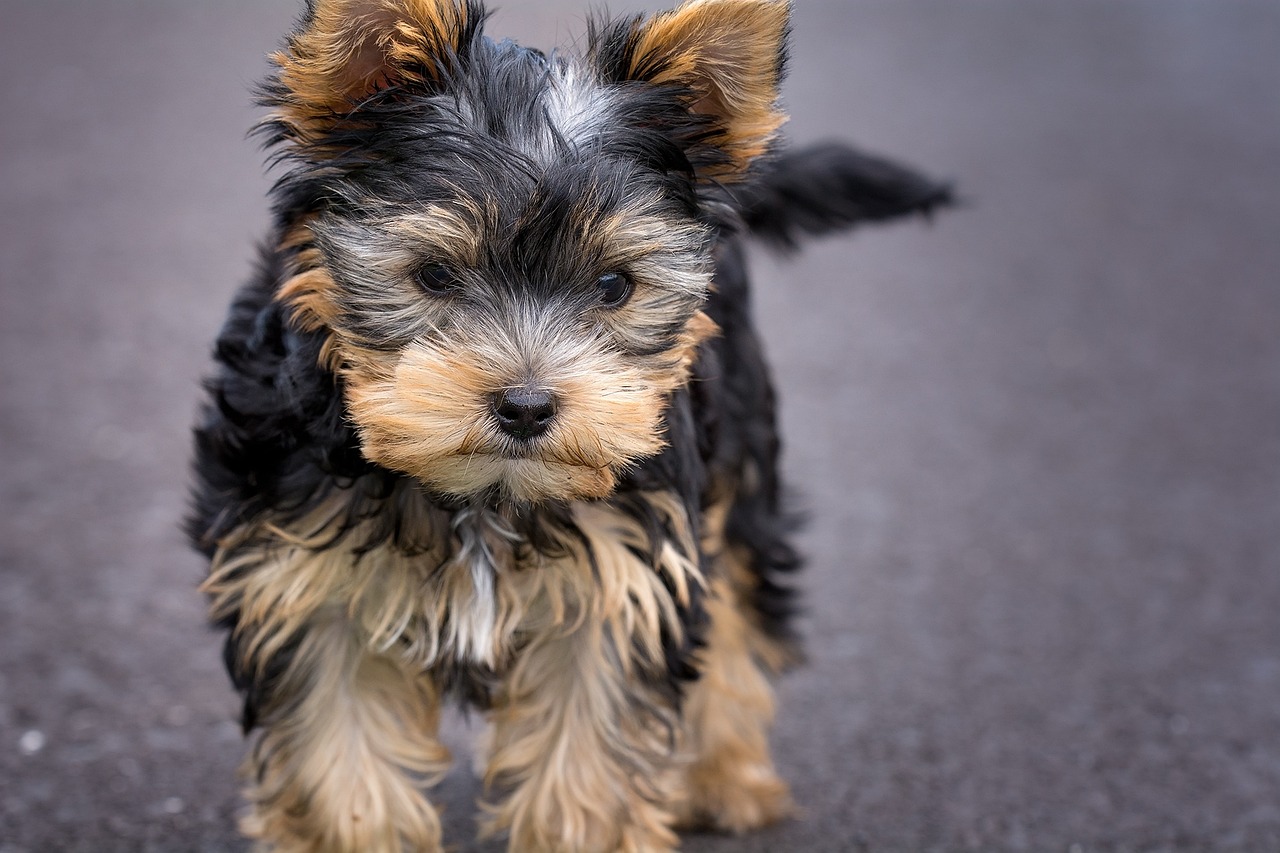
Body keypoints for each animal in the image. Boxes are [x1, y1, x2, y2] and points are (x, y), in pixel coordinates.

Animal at [189, 1, 952, 845]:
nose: (526, 406)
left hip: (739, 446)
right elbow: (339, 764)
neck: (485, 495)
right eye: (434, 275)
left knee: (737, 602)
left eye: (615, 285)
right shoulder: (307, 583)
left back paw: (726, 776)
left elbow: (587, 764)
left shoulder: (622, 582)